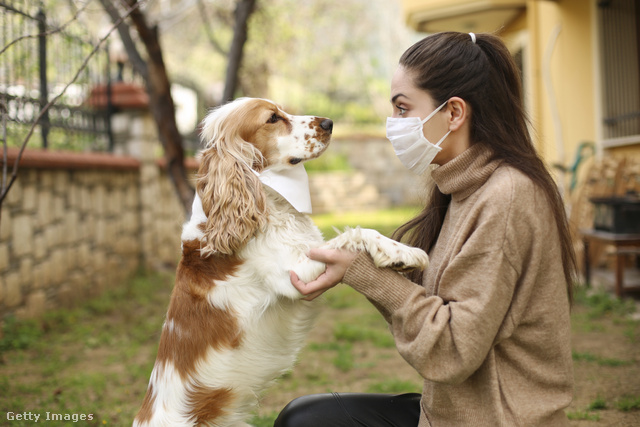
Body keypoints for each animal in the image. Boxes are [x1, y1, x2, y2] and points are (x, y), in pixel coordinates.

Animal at [132, 98, 428, 427]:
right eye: (272, 119)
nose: (329, 123)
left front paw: (400, 251)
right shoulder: (294, 274)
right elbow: (356, 233)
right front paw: (404, 254)